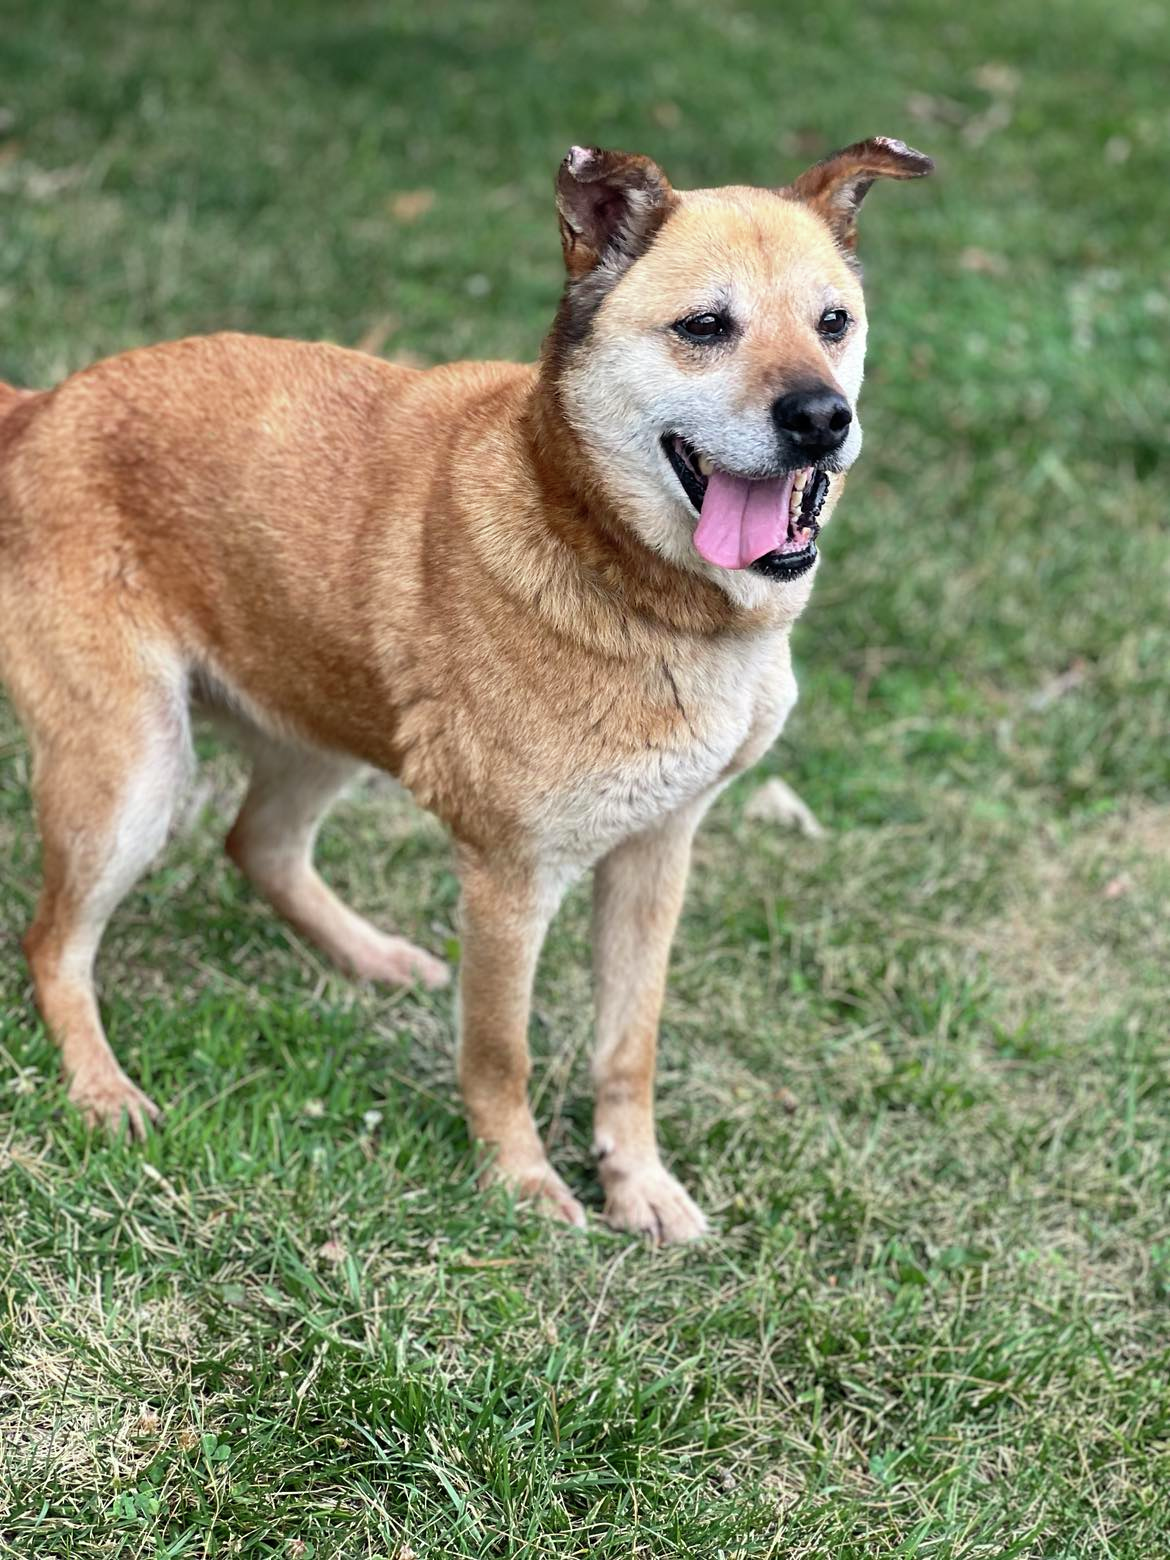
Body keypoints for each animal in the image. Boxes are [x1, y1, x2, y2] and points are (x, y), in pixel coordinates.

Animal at [0, 134, 935, 1241]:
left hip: (321, 716)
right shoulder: (510, 877)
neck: (618, 564)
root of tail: (43, 406)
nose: (823, 418)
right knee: (53, 944)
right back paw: (103, 1086)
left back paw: (367, 955)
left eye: (834, 323)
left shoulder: (657, 853)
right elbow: (501, 1053)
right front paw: (521, 1181)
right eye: (705, 326)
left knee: (256, 845)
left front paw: (637, 1181)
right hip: (132, 777)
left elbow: (629, 1047)